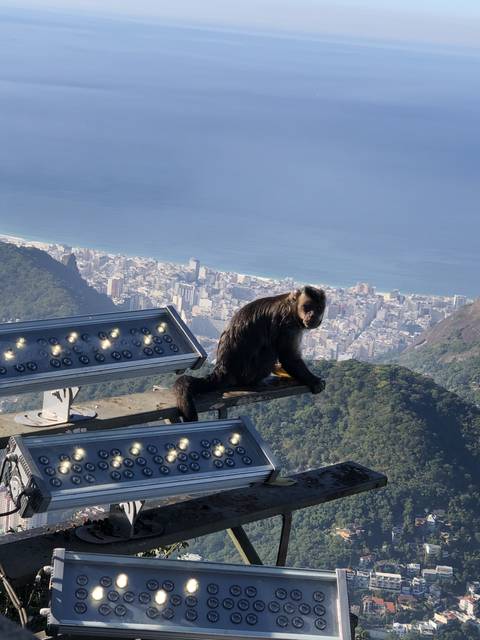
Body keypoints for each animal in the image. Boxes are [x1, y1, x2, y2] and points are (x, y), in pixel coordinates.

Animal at [174, 286, 327, 421]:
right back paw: (257, 382)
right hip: (247, 373)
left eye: (318, 309)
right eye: (307, 307)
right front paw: (313, 380)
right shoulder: (288, 325)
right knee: (270, 350)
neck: (292, 307)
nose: (312, 315)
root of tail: (222, 370)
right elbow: (289, 358)